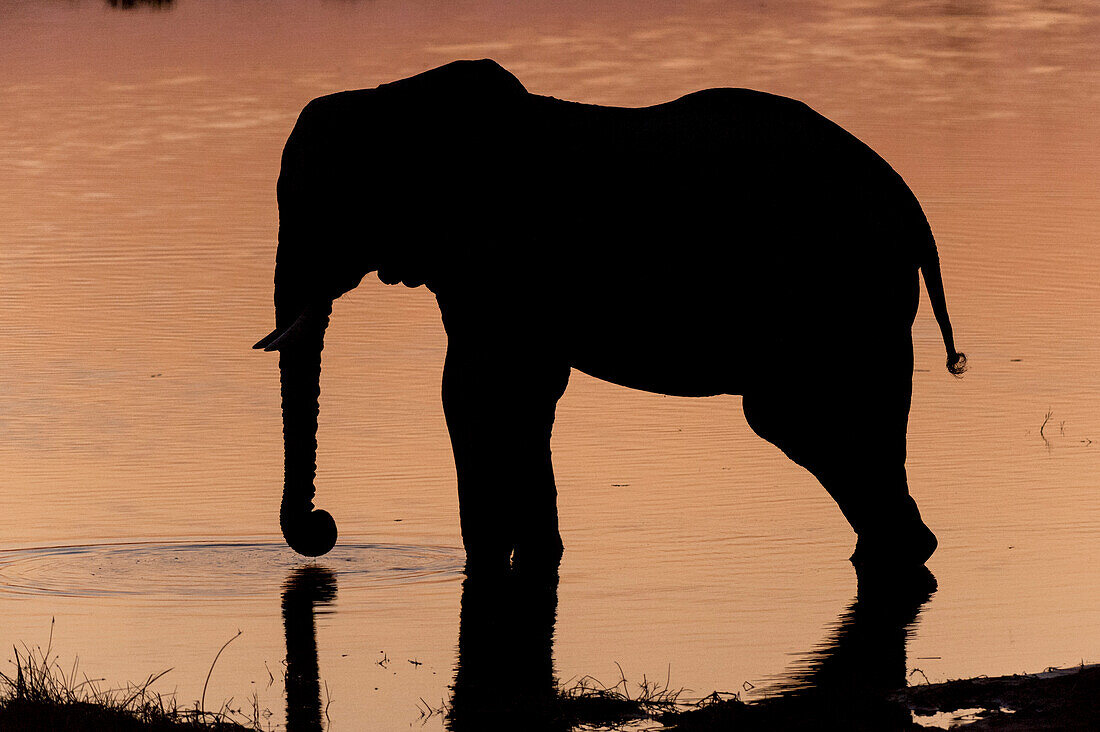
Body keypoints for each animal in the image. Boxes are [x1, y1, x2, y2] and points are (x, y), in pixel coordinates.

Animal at [255, 58, 963, 572]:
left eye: (334, 201)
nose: (324, 529)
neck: (392, 100)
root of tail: (911, 209)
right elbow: (509, 391)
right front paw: (534, 555)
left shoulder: (501, 254)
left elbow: (479, 388)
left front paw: (496, 563)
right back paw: (895, 549)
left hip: (842, 286)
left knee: (798, 411)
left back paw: (897, 553)